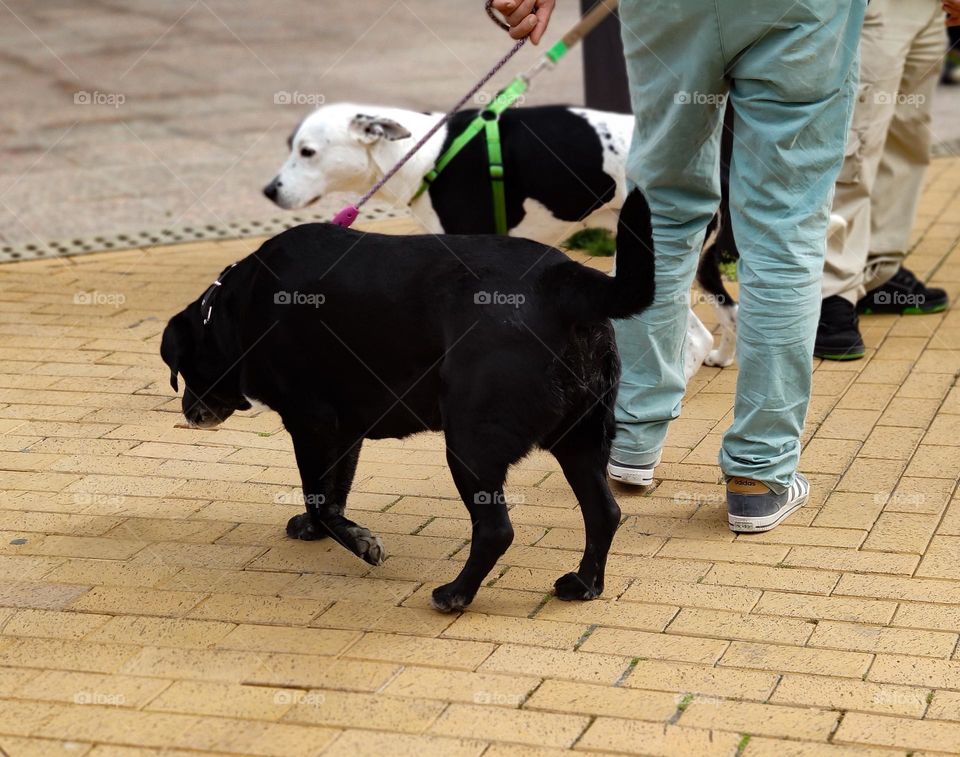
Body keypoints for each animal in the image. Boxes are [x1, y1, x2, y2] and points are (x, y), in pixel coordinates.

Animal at [165, 188, 656, 608]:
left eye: (184, 369)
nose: (188, 413)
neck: (234, 311)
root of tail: (565, 281)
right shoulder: (344, 430)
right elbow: (332, 492)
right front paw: (321, 530)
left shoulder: (310, 422)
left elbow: (319, 497)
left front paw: (357, 541)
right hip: (581, 436)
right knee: (604, 511)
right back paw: (585, 583)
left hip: (470, 443)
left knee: (496, 530)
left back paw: (456, 594)